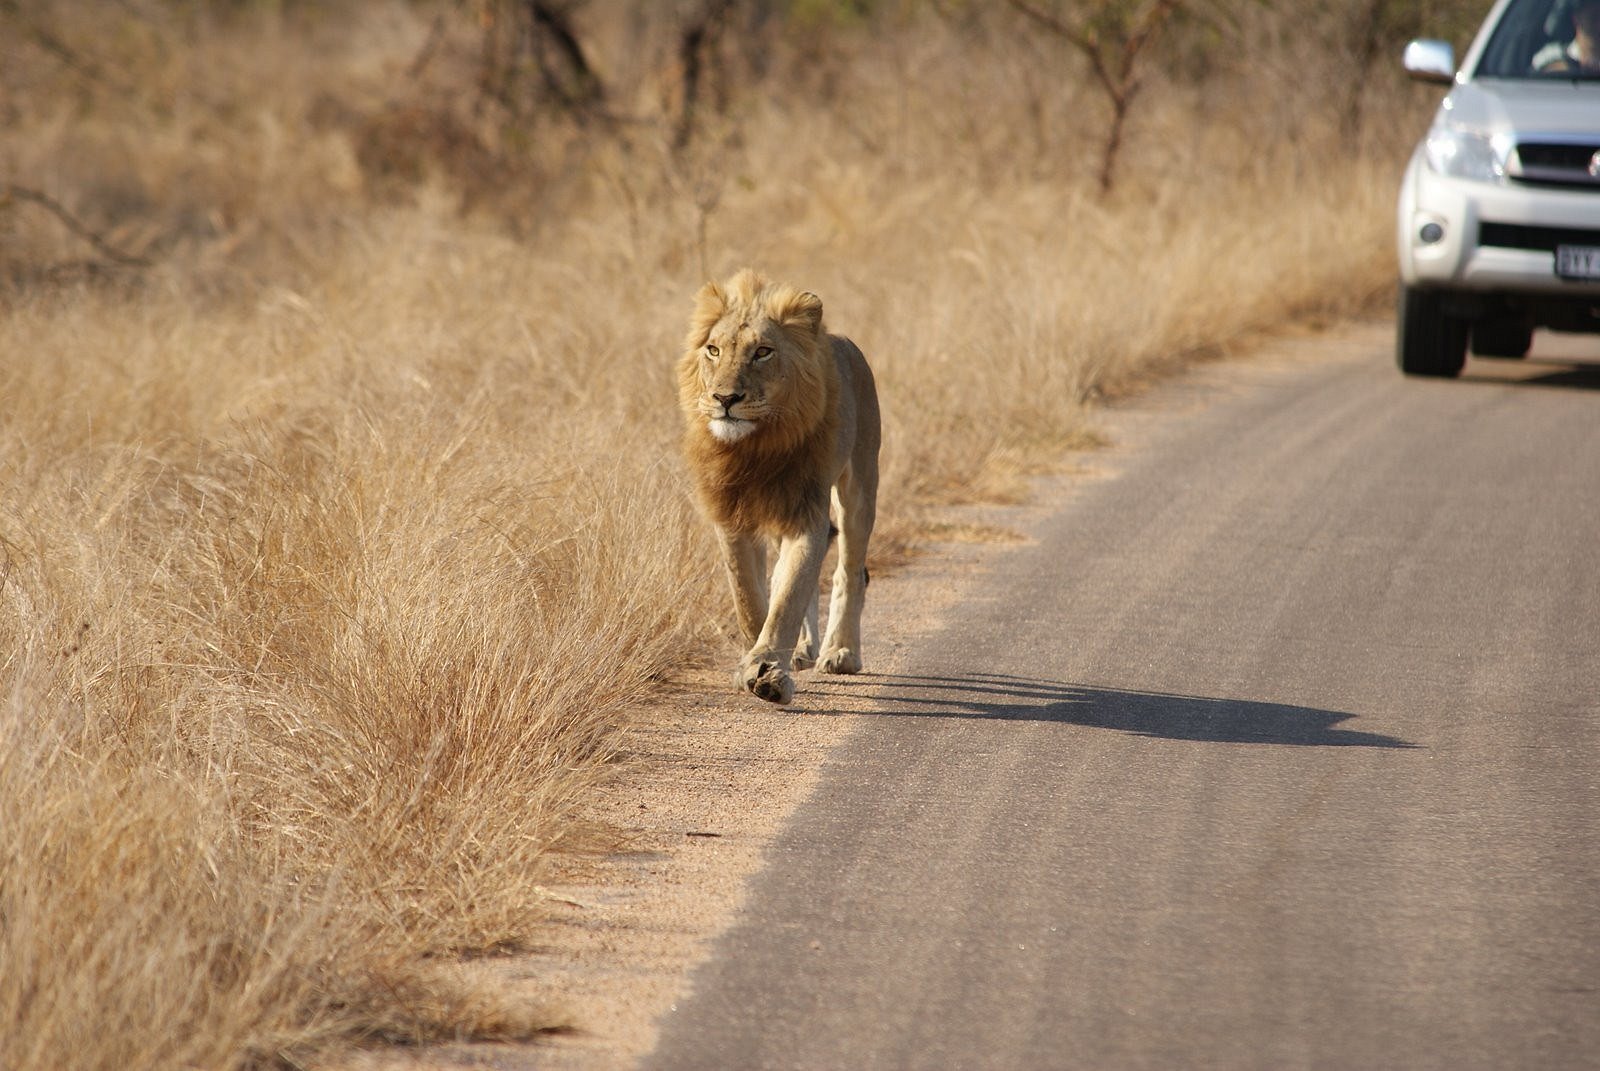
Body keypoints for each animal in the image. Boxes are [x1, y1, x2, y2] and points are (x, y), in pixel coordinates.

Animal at [672, 265, 883, 701]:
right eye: (713, 350)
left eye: (762, 352)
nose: (724, 399)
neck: (755, 448)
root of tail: (843, 340)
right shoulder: (734, 517)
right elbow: (751, 598)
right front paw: (753, 664)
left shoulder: (805, 512)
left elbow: (787, 597)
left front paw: (769, 673)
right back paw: (802, 650)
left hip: (859, 486)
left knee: (849, 571)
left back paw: (841, 652)